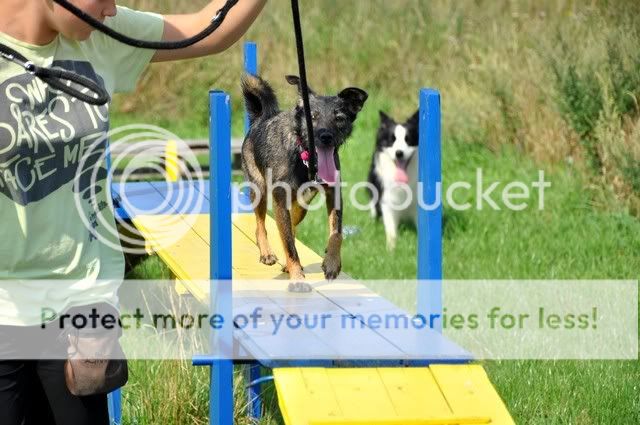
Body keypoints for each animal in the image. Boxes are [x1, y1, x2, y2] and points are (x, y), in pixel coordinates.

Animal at [241, 74, 368, 292]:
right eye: (313, 117)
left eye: (339, 118)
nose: (326, 136)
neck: (304, 159)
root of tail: (260, 118)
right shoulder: (280, 201)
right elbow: (289, 246)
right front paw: (298, 278)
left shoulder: (334, 193)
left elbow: (337, 232)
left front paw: (332, 263)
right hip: (260, 190)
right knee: (261, 225)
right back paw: (267, 253)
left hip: (301, 206)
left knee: (290, 227)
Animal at [367, 110, 419, 250]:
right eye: (392, 140)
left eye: (408, 140)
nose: (399, 153)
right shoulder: (387, 201)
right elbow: (391, 231)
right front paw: (391, 249)